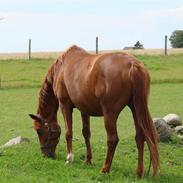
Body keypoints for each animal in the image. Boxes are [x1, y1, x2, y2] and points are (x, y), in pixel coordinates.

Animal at [29, 45, 159, 177]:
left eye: (39, 131)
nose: (45, 154)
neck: (61, 68)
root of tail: (133, 65)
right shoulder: (84, 109)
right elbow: (86, 133)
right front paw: (88, 160)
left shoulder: (65, 105)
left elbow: (68, 133)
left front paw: (69, 158)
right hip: (136, 110)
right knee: (140, 138)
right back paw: (139, 172)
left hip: (110, 113)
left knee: (113, 139)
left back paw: (105, 169)